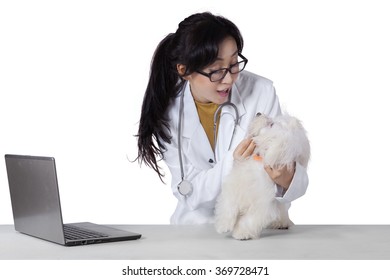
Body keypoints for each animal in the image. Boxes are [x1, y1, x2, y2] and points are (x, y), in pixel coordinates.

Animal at [215, 112, 310, 240]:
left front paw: (242, 233)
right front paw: (223, 225)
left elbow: (249, 219)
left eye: (271, 124)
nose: (259, 113)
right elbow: (228, 205)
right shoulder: (233, 187)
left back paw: (281, 223)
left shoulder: (262, 204)